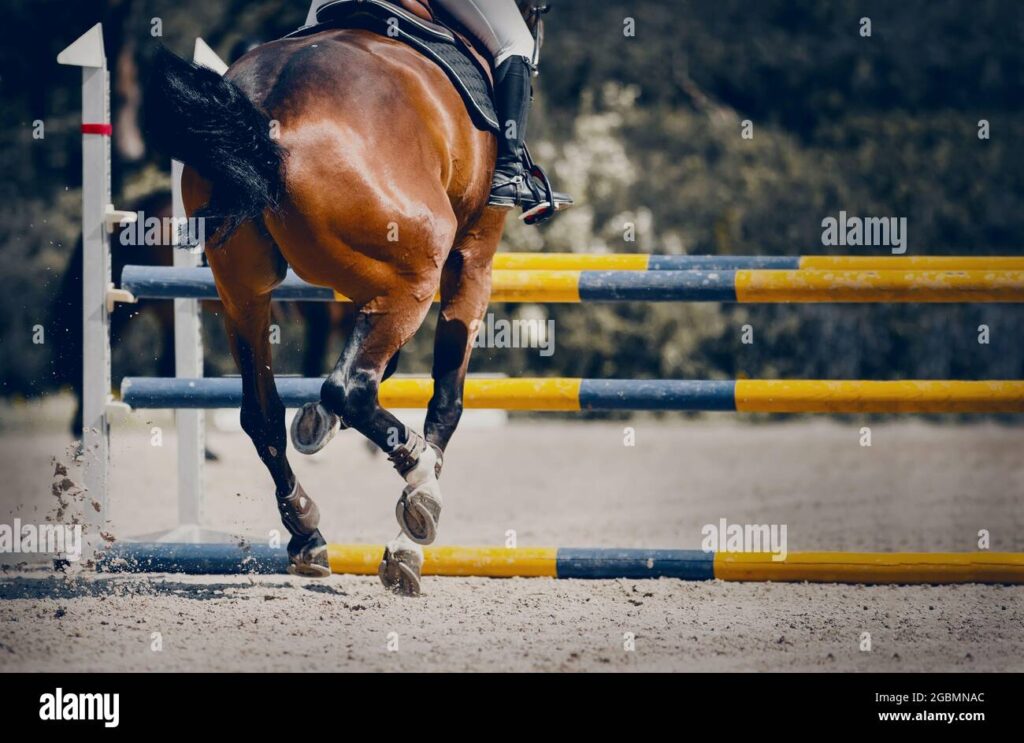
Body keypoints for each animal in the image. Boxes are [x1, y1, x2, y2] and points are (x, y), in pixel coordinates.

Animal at [147, 1, 544, 593]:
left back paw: (306, 529)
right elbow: (445, 400)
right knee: (350, 388)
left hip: (243, 291)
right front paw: (407, 543)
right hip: (415, 273)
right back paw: (419, 488)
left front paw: (314, 425)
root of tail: (268, 116)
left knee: (262, 412)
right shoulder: (472, 258)